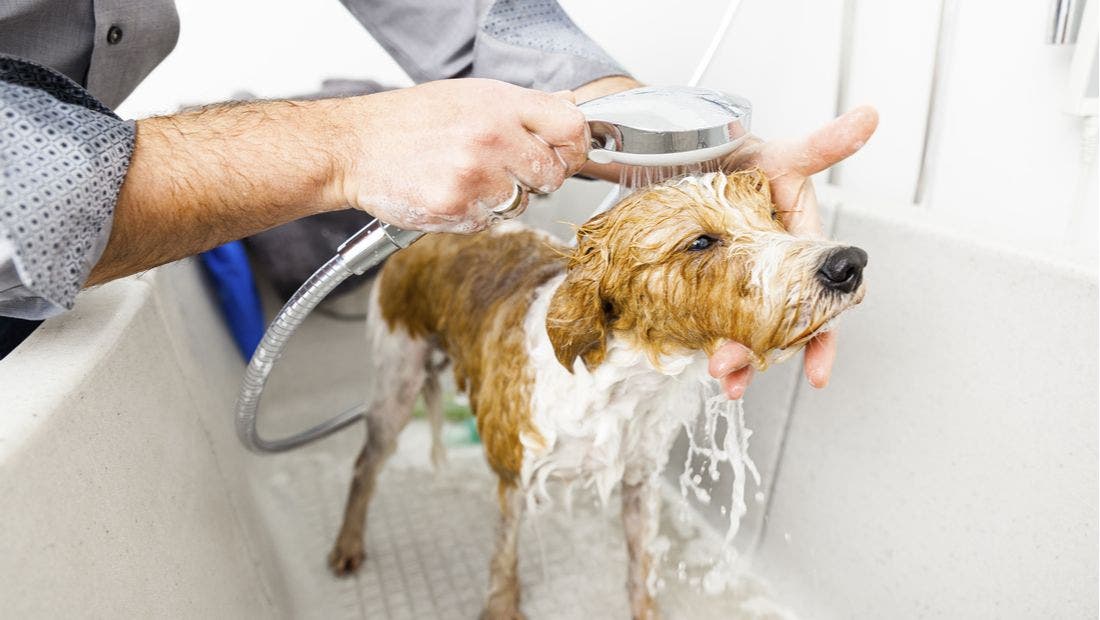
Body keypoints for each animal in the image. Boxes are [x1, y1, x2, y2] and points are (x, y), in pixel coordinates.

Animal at [325, 169, 866, 620]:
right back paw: (348, 544)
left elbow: (641, 565)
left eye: (772, 215)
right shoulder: (513, 475)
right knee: (365, 463)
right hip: (396, 378)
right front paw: (503, 607)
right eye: (701, 242)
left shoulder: (640, 480)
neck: (626, 384)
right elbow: (504, 562)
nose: (849, 263)